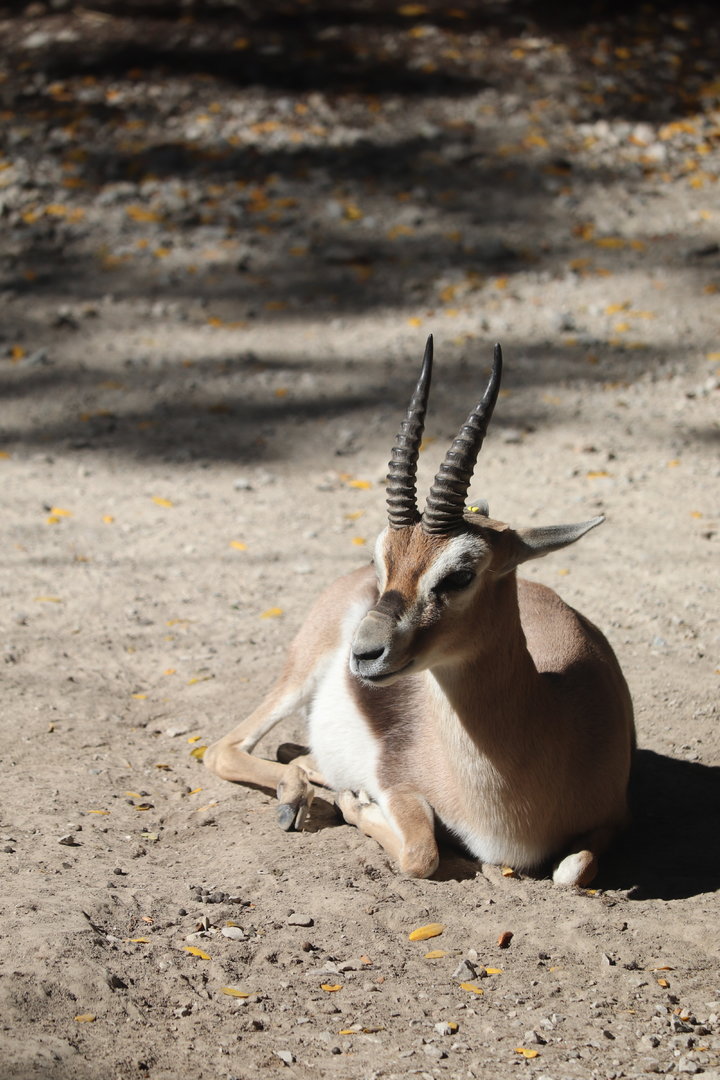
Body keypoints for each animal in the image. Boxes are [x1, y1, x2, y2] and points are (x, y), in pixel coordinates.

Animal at [205, 337, 635, 886]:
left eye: (460, 574)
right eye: (381, 559)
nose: (364, 654)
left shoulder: (614, 817)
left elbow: (571, 871)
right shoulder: (399, 787)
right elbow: (421, 854)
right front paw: (354, 803)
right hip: (298, 676)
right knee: (225, 748)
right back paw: (303, 795)